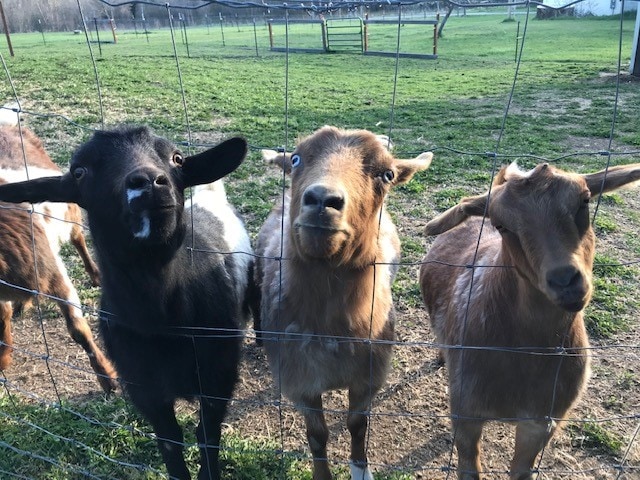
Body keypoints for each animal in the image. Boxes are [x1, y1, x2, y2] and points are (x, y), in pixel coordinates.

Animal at [0, 125, 116, 392]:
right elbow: (3, 318)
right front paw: (3, 358)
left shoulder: (54, 276)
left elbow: (78, 329)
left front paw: (107, 379)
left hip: (70, 212)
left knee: (78, 239)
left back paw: (95, 275)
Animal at [256, 126, 436, 480]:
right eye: (296, 159)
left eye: (387, 174)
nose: (322, 199)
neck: (331, 326)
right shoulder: (301, 381)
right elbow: (317, 434)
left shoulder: (368, 377)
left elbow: (357, 425)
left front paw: (360, 469)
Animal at [418, 162, 640, 480]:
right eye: (502, 225)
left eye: (584, 201)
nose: (565, 281)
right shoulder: (465, 410)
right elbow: (469, 468)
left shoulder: (543, 421)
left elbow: (521, 471)